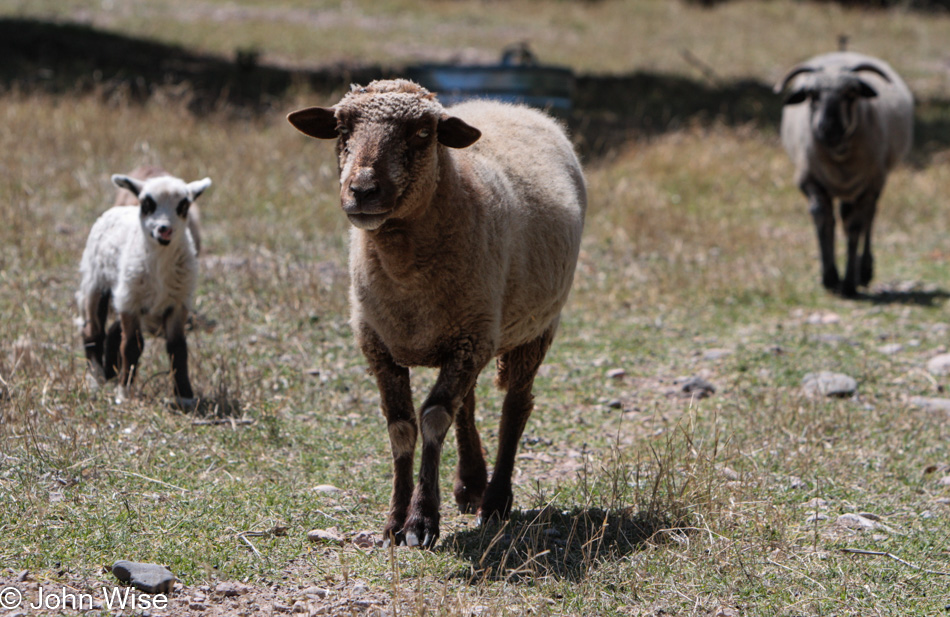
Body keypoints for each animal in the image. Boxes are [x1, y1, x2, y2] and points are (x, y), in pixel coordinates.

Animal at [77, 171, 212, 406]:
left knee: (113, 330)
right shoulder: (131, 301)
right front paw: (124, 393)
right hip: (96, 282)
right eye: (147, 203)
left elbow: (178, 347)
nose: (164, 229)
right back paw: (96, 378)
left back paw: (110, 371)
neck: (160, 261)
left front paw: (185, 396)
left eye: (183, 205)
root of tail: (119, 209)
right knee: (92, 331)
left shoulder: (178, 302)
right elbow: (132, 345)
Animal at [288, 79, 588, 548]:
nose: (362, 190)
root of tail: (510, 105)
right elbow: (402, 426)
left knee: (515, 407)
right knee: (467, 403)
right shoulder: (380, 343)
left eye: (422, 134)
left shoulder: (470, 338)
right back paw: (470, 483)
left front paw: (421, 522)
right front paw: (394, 521)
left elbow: (432, 419)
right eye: (341, 128)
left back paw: (495, 499)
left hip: (533, 327)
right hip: (474, 332)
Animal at [776, 50, 920, 296]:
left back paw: (865, 271)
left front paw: (849, 283)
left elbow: (855, 226)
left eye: (851, 93)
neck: (839, 157)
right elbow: (823, 218)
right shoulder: (808, 179)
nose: (829, 129)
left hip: (873, 182)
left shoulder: (870, 183)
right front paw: (829, 277)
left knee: (868, 217)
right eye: (812, 94)